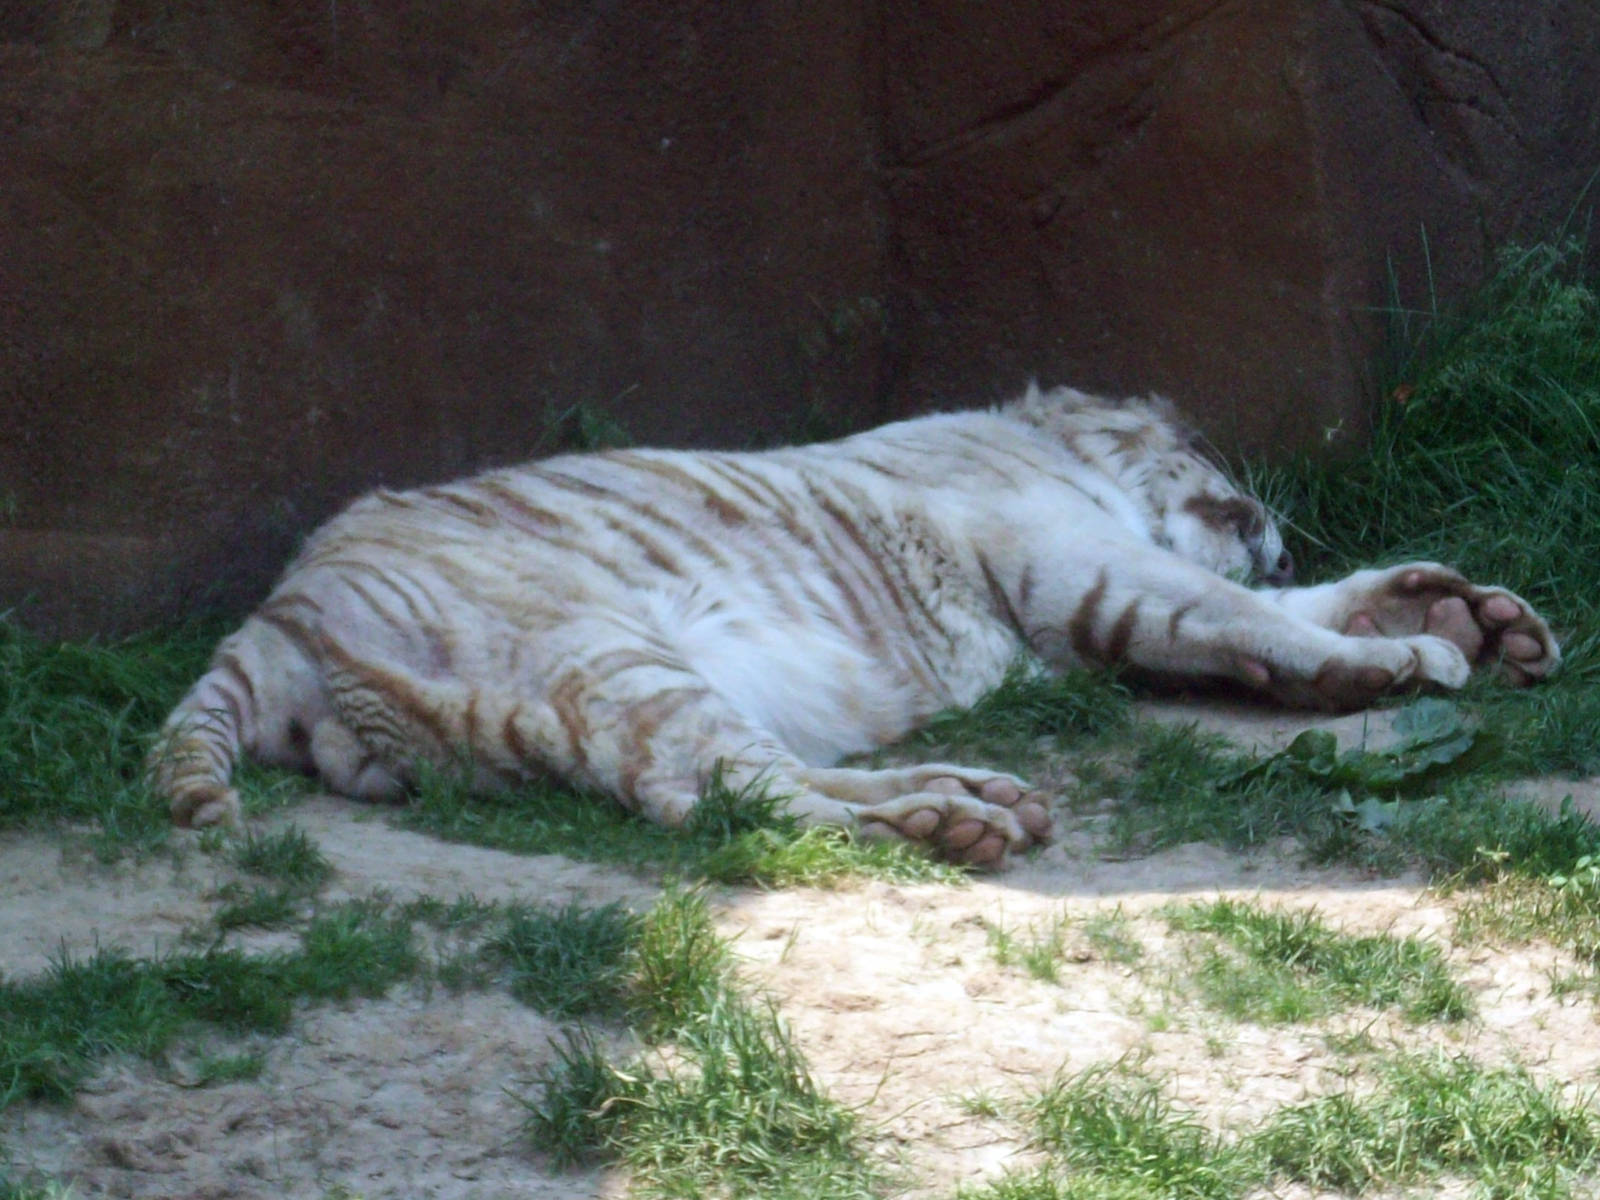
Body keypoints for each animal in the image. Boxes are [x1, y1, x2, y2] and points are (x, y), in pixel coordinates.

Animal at [149, 384, 1559, 867]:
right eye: (1207, 447)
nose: (1275, 519)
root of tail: (268, 622)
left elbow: (1273, 608)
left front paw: (1468, 613)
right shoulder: (1086, 565)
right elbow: (1241, 614)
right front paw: (1410, 649)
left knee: (745, 785)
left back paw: (981, 792)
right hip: (607, 658)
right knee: (736, 799)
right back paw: (952, 821)